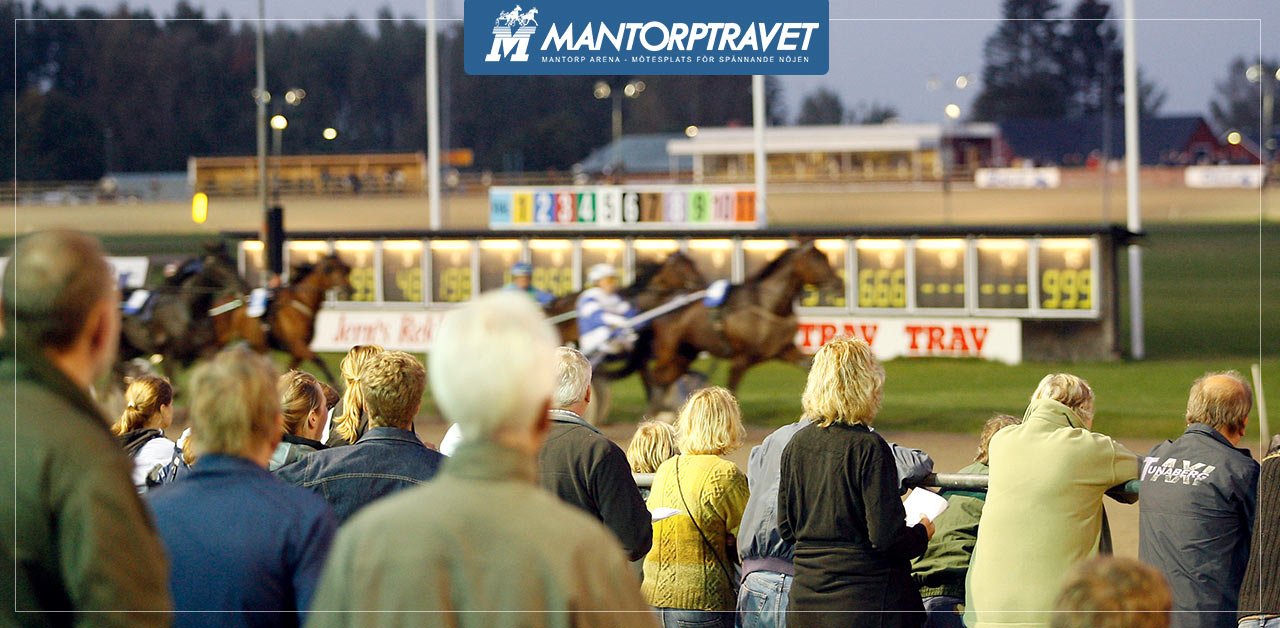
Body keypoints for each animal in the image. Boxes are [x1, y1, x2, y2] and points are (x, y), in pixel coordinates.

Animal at [215, 254, 353, 383]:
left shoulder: (298, 352)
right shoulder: (297, 345)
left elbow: (291, 370)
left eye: (346, 269)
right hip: (221, 339)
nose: (348, 290)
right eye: (329, 269)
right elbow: (319, 361)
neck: (301, 302)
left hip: (257, 345)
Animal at [645, 240, 844, 411]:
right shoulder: (740, 360)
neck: (767, 305)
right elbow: (731, 392)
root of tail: (666, 302)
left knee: (665, 379)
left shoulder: (784, 349)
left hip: (685, 353)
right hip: (668, 351)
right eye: (815, 260)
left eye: (826, 256)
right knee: (656, 377)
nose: (838, 283)